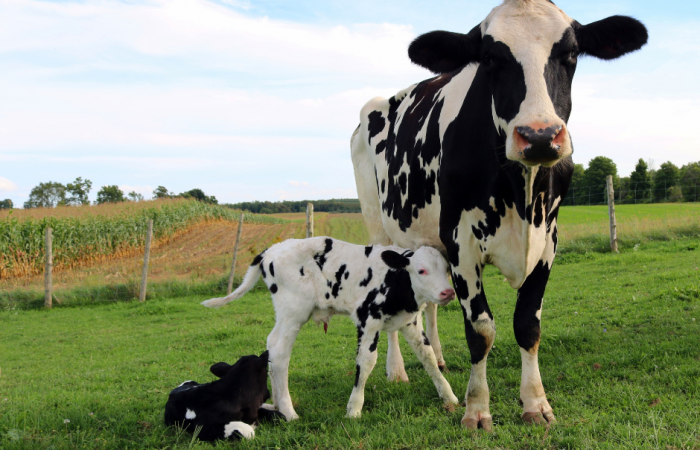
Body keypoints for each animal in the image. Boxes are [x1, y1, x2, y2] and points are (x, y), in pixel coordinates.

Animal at [201, 237, 460, 420]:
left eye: (446, 268)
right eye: (422, 270)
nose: (448, 292)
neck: (396, 280)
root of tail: (271, 250)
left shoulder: (410, 321)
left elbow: (427, 356)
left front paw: (449, 396)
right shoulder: (367, 319)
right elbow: (366, 361)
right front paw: (354, 409)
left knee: (271, 346)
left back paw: (276, 404)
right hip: (293, 311)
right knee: (279, 351)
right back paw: (289, 412)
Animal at [350, 0, 647, 431]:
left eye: (571, 54)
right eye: (491, 58)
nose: (540, 136)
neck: (519, 192)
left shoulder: (548, 240)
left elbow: (527, 324)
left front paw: (536, 403)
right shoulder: (462, 243)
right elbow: (481, 329)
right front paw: (476, 409)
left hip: (427, 241)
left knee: (430, 305)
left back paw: (438, 356)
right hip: (379, 225)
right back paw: (397, 370)